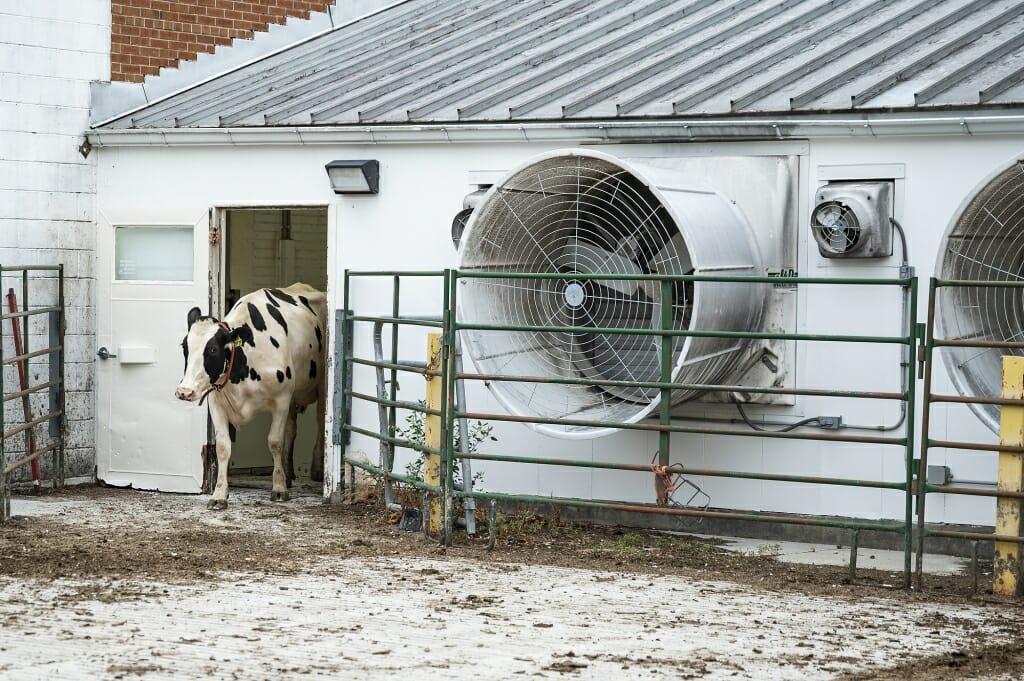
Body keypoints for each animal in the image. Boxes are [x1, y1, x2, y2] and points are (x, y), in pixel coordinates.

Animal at [176, 280, 325, 509]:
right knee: (291, 430)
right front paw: (219, 494)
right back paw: (288, 474)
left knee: (319, 422)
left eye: (213, 350)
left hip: (321, 387)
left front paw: (278, 488)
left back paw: (316, 469)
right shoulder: (216, 401)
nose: (185, 391)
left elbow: (275, 441)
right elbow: (222, 447)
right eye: (185, 346)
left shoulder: (281, 398)